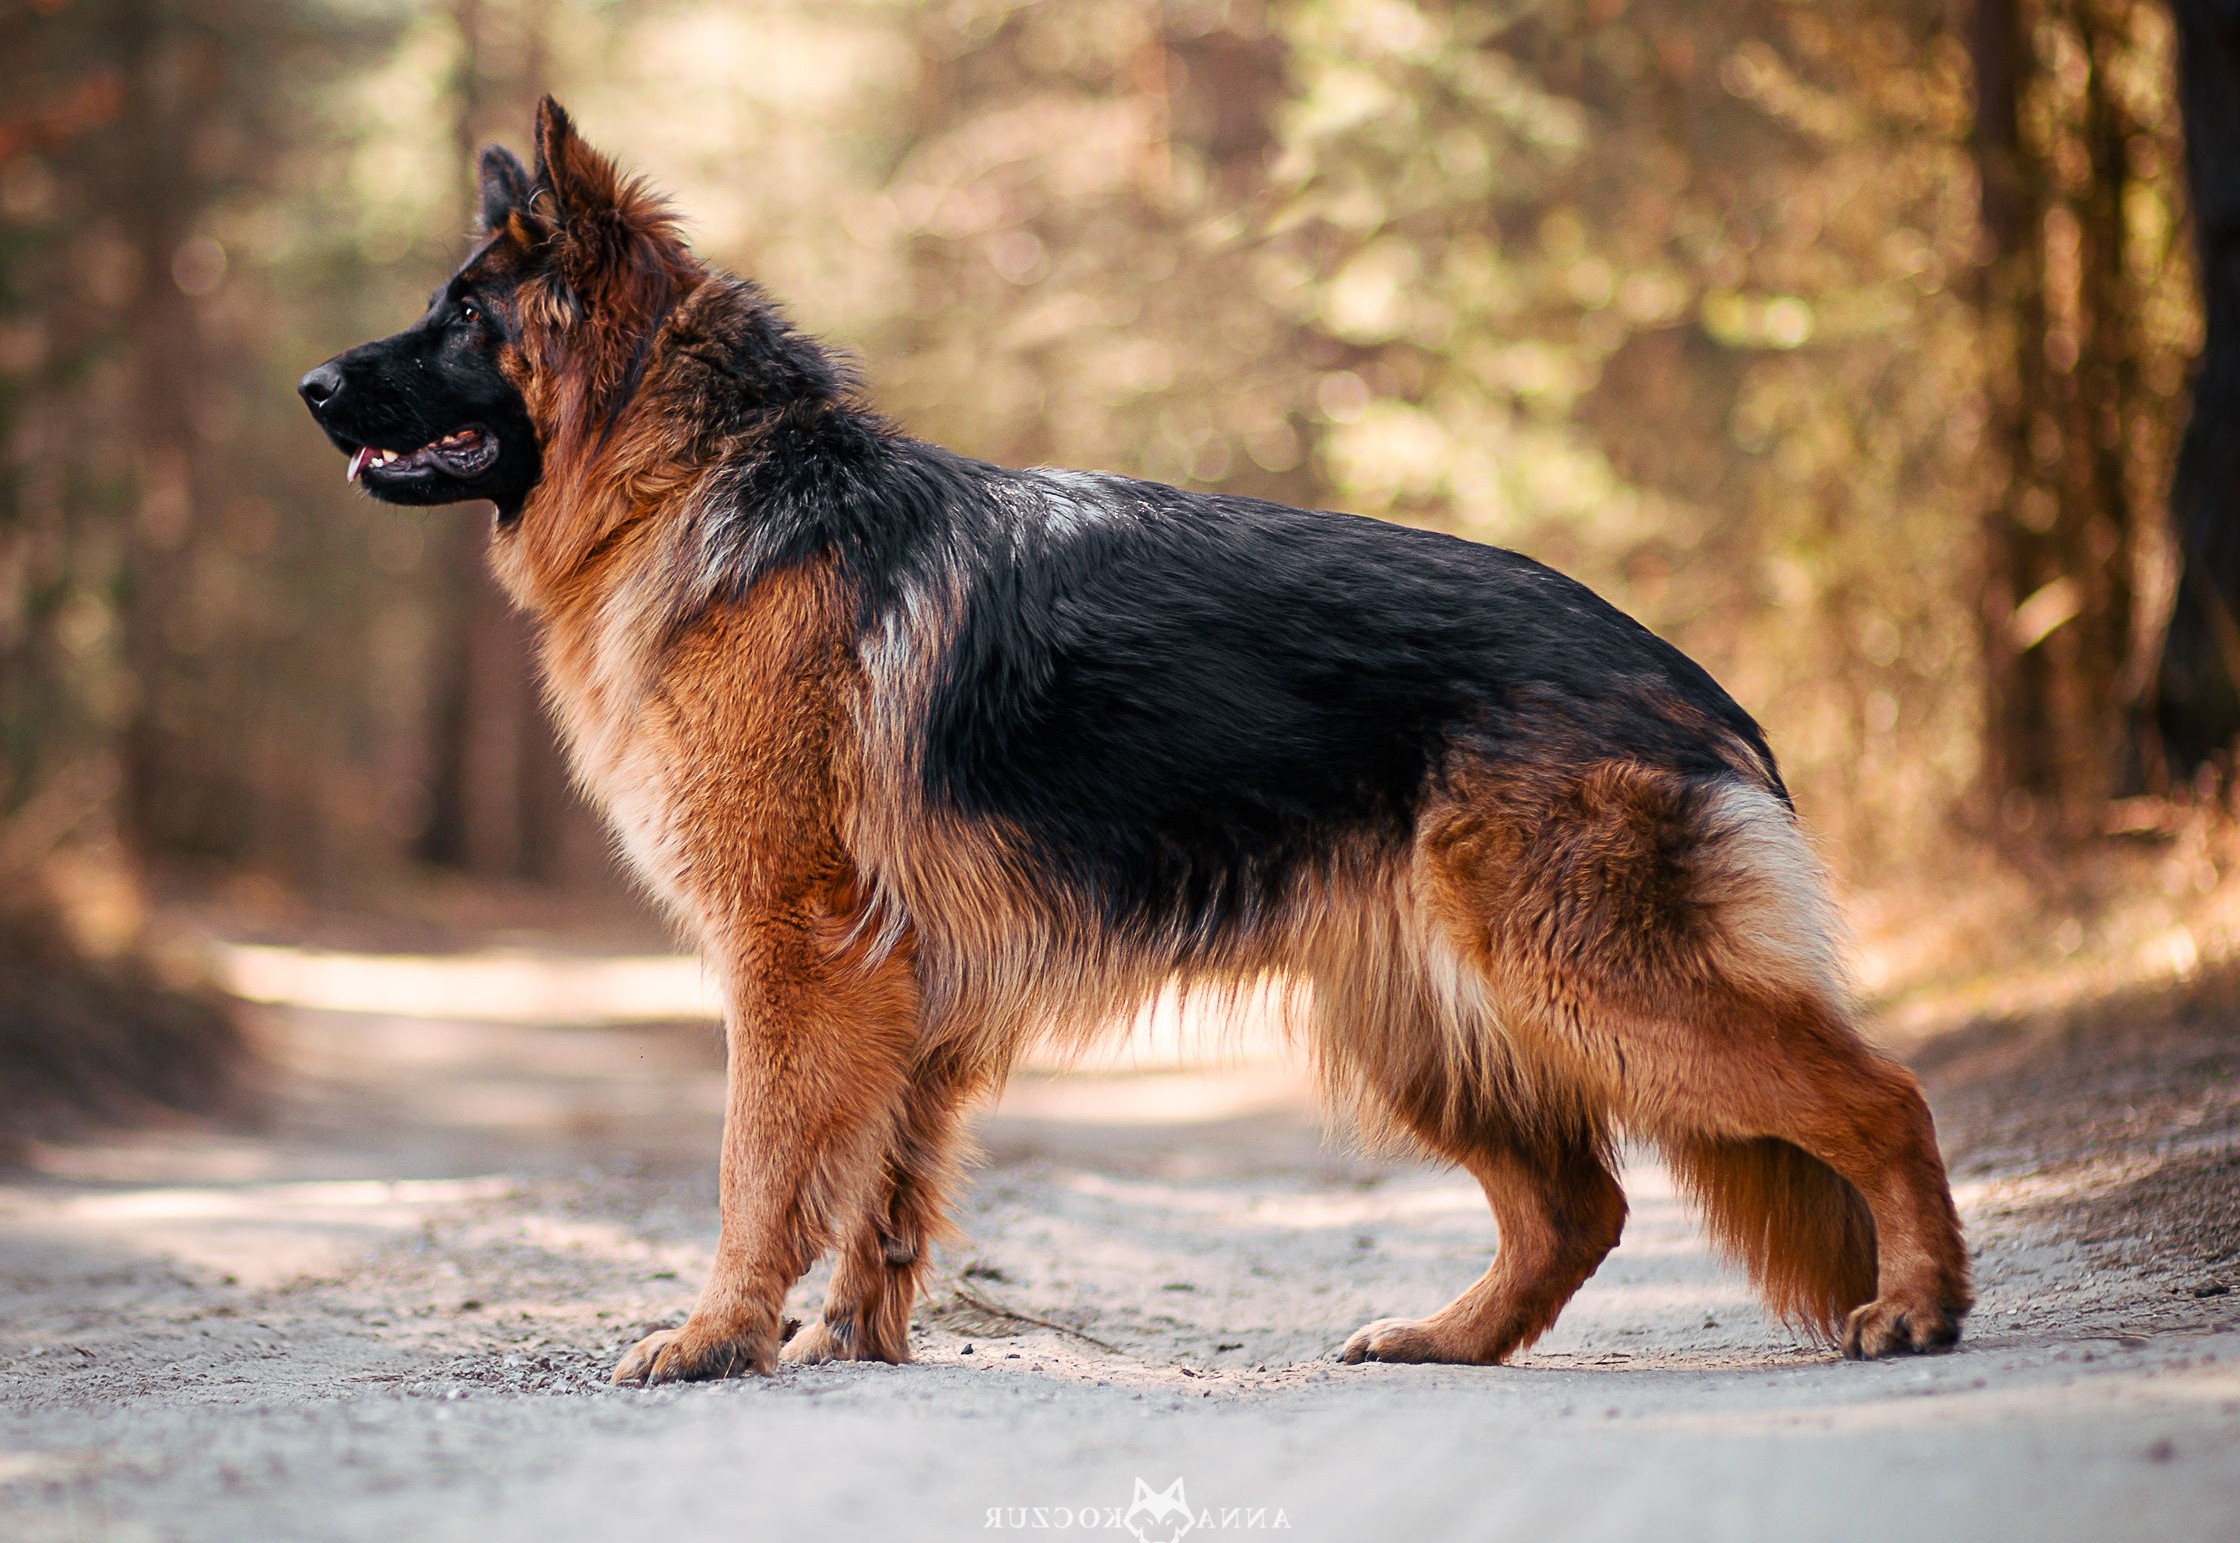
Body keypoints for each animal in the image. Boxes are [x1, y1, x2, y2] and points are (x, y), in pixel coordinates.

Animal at [298, 99, 1970, 1383]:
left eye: (464, 313)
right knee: (1578, 1206)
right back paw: (1449, 1338)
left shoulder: (791, 950)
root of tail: (1692, 683)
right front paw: (848, 1340)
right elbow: (883, 1187)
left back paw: (1918, 1305)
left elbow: (756, 1165)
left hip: (1589, 980)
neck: (708, 473)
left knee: (1878, 1095)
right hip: (1427, 1022)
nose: (309, 384)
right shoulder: (900, 985)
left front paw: (716, 1336)